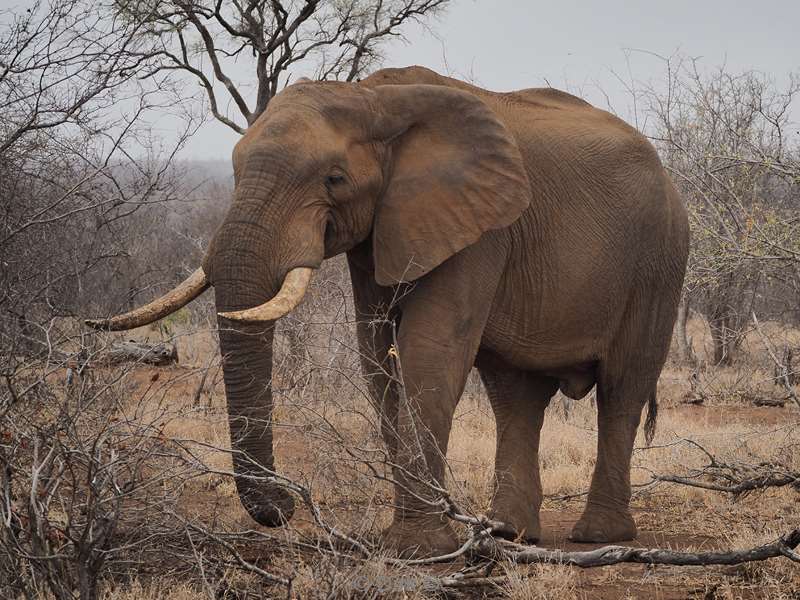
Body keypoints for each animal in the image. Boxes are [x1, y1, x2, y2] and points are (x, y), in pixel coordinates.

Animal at [86, 65, 688, 556]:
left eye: (333, 178)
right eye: (233, 173)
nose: (285, 507)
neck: (374, 96)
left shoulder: (481, 229)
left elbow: (430, 348)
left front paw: (417, 550)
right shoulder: (381, 229)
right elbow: (376, 352)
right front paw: (407, 542)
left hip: (659, 260)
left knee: (622, 388)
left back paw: (598, 537)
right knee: (515, 395)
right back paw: (507, 534)